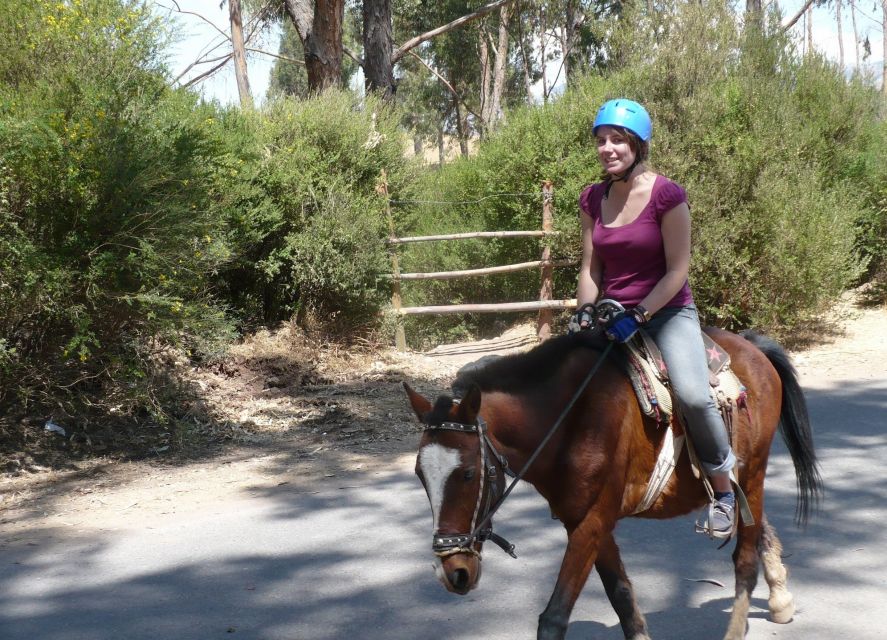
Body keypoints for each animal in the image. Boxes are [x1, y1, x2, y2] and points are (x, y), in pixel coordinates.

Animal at [406, 328, 824, 636]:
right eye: (420, 475)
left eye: (468, 473)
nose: (454, 573)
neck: (569, 418)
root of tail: (752, 347)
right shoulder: (585, 521)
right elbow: (621, 595)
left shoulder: (592, 520)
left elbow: (554, 616)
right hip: (742, 483)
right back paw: (780, 597)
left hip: (753, 474)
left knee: (744, 563)